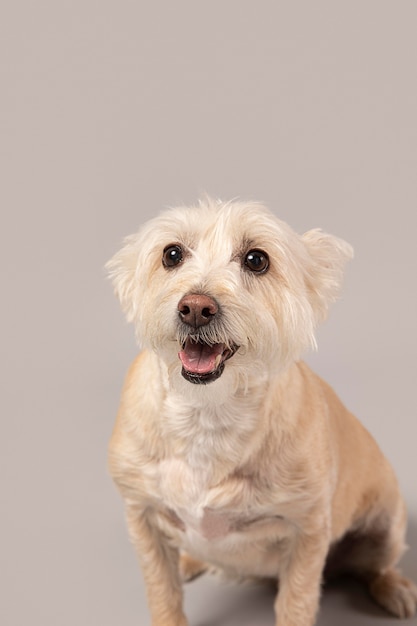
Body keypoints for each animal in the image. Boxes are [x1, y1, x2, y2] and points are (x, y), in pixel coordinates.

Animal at [105, 196, 416, 624]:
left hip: (386, 524)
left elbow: (296, 602)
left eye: (256, 259)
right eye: (171, 254)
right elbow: (162, 592)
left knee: (377, 566)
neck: (208, 415)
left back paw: (395, 589)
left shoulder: (307, 528)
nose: (196, 307)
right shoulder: (142, 517)